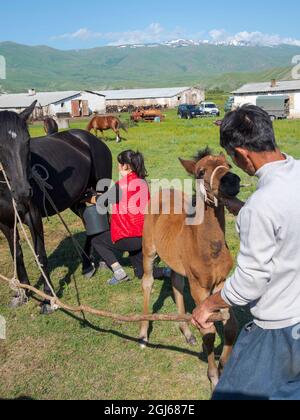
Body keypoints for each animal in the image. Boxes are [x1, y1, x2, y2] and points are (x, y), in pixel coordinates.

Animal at [0, 101, 112, 314]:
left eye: (27, 141)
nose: (23, 192)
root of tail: (91, 140)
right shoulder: (6, 223)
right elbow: (16, 254)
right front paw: (22, 292)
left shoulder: (33, 216)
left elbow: (40, 255)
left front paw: (48, 298)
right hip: (78, 199)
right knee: (89, 224)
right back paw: (87, 264)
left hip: (101, 192)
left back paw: (101, 261)